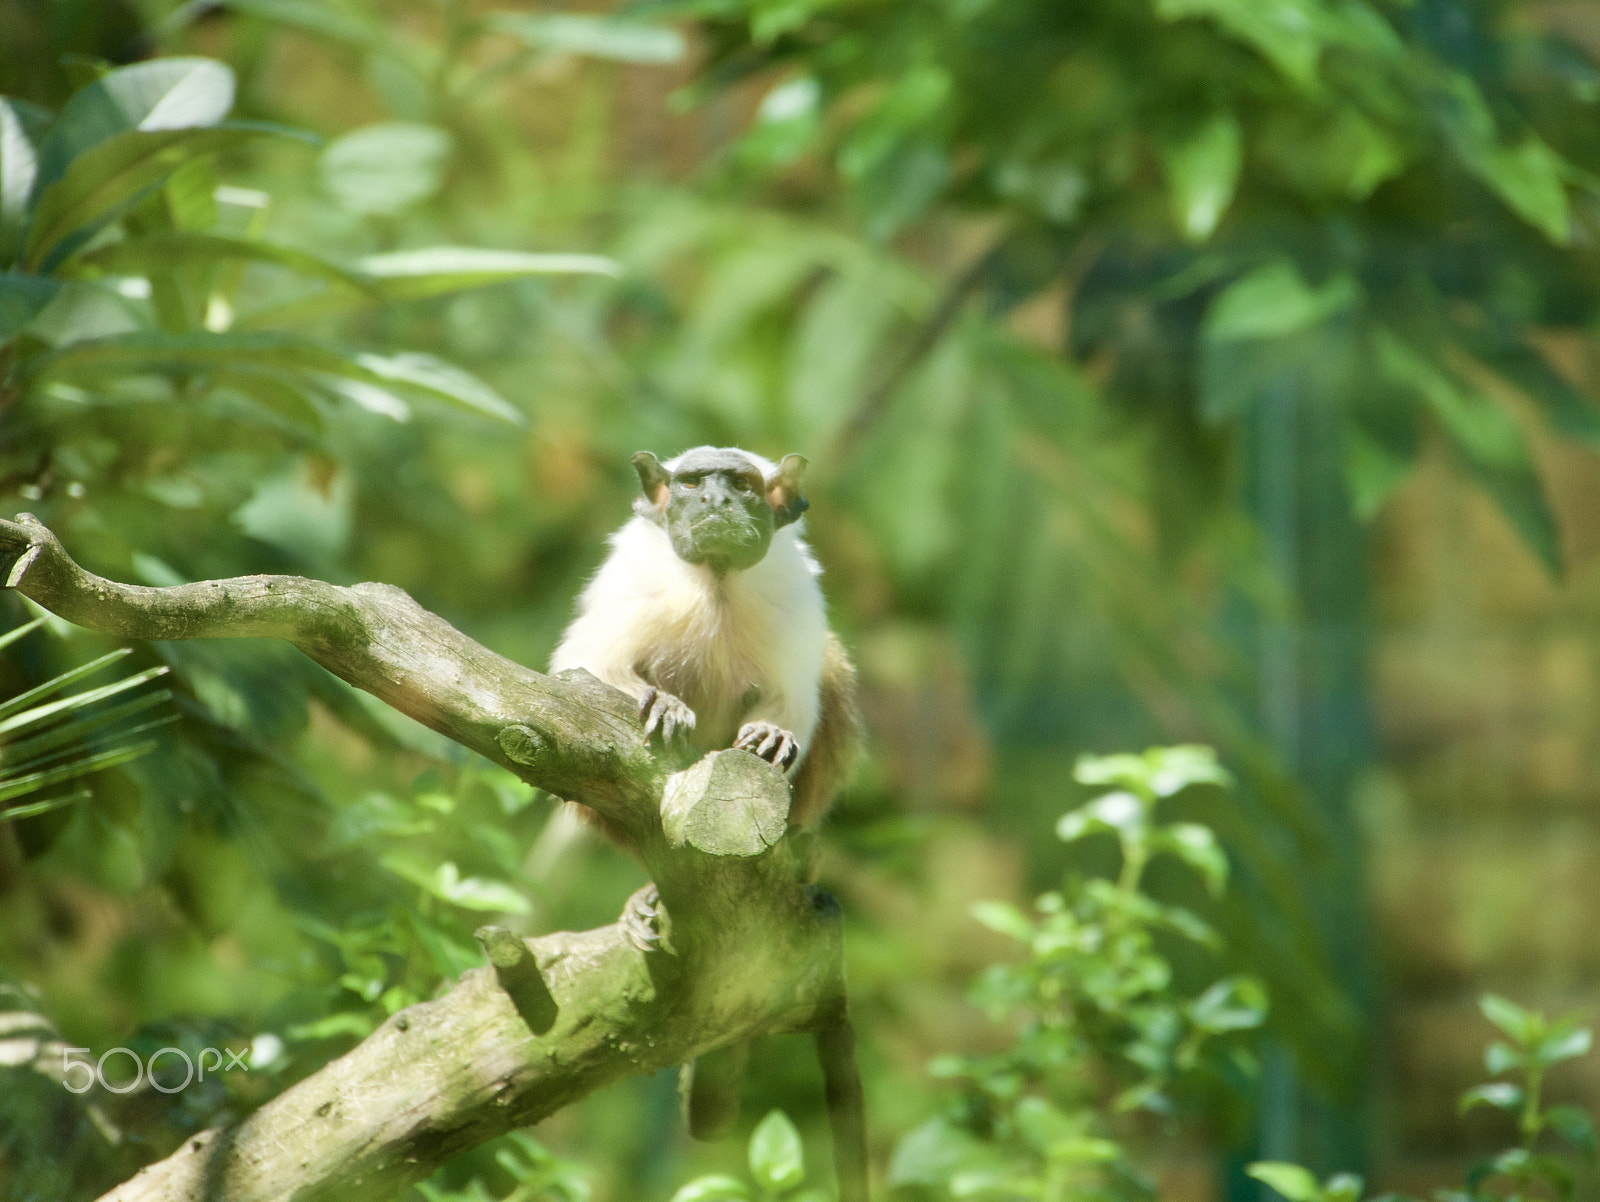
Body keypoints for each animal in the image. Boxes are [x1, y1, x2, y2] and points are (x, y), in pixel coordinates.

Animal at [549, 446, 859, 831]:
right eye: (692, 483)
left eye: (741, 484)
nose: (714, 500)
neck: (717, 579)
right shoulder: (631, 585)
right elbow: (584, 673)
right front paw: (664, 705)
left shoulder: (794, 601)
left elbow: (792, 699)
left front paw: (771, 734)